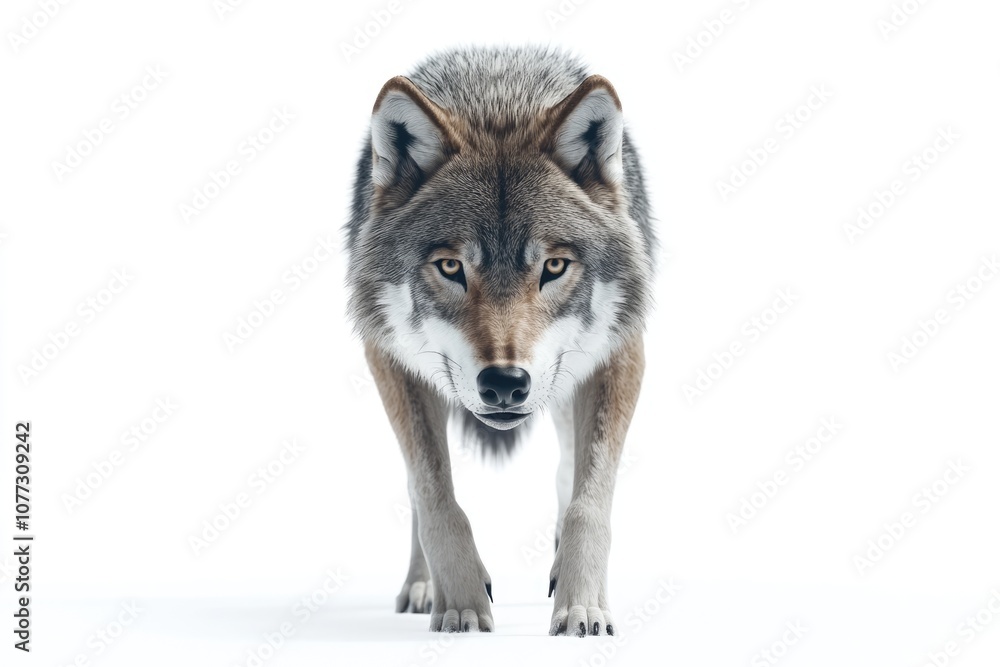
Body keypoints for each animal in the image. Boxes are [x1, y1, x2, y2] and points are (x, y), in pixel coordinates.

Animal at [345, 45, 654, 636]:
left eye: (553, 267)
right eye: (451, 267)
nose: (505, 383)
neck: (499, 99)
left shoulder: (620, 352)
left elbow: (589, 500)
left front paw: (582, 607)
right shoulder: (389, 359)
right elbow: (434, 494)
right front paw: (461, 602)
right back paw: (422, 587)